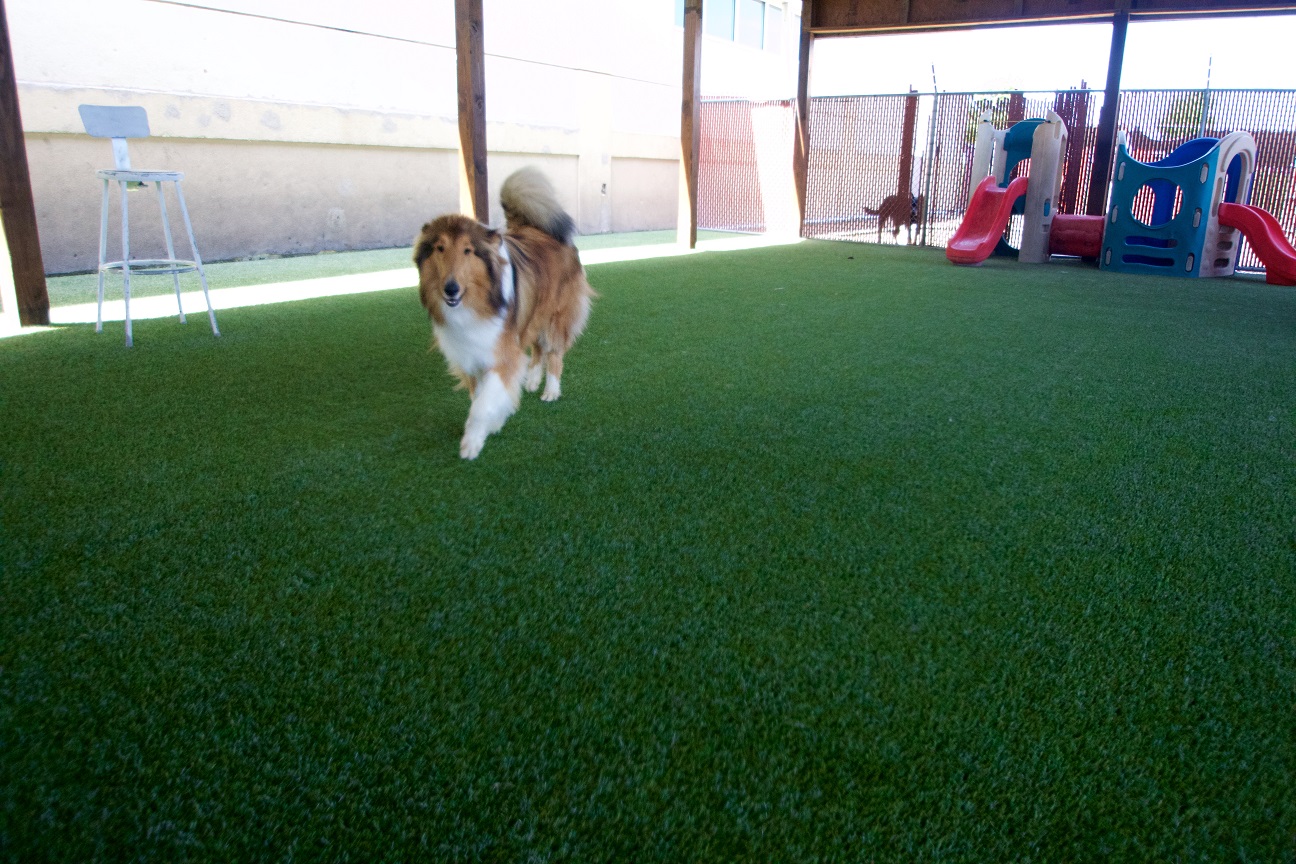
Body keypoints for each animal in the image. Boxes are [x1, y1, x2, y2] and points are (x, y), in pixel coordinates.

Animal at [417, 163, 593, 458]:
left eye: (468, 251)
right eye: (440, 248)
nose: (450, 289)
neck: (476, 303)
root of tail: (538, 226)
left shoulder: (503, 353)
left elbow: (482, 405)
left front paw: (472, 442)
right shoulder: (472, 354)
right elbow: (480, 397)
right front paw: (491, 423)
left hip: (555, 315)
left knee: (554, 352)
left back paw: (551, 390)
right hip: (531, 315)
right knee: (538, 349)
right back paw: (532, 380)